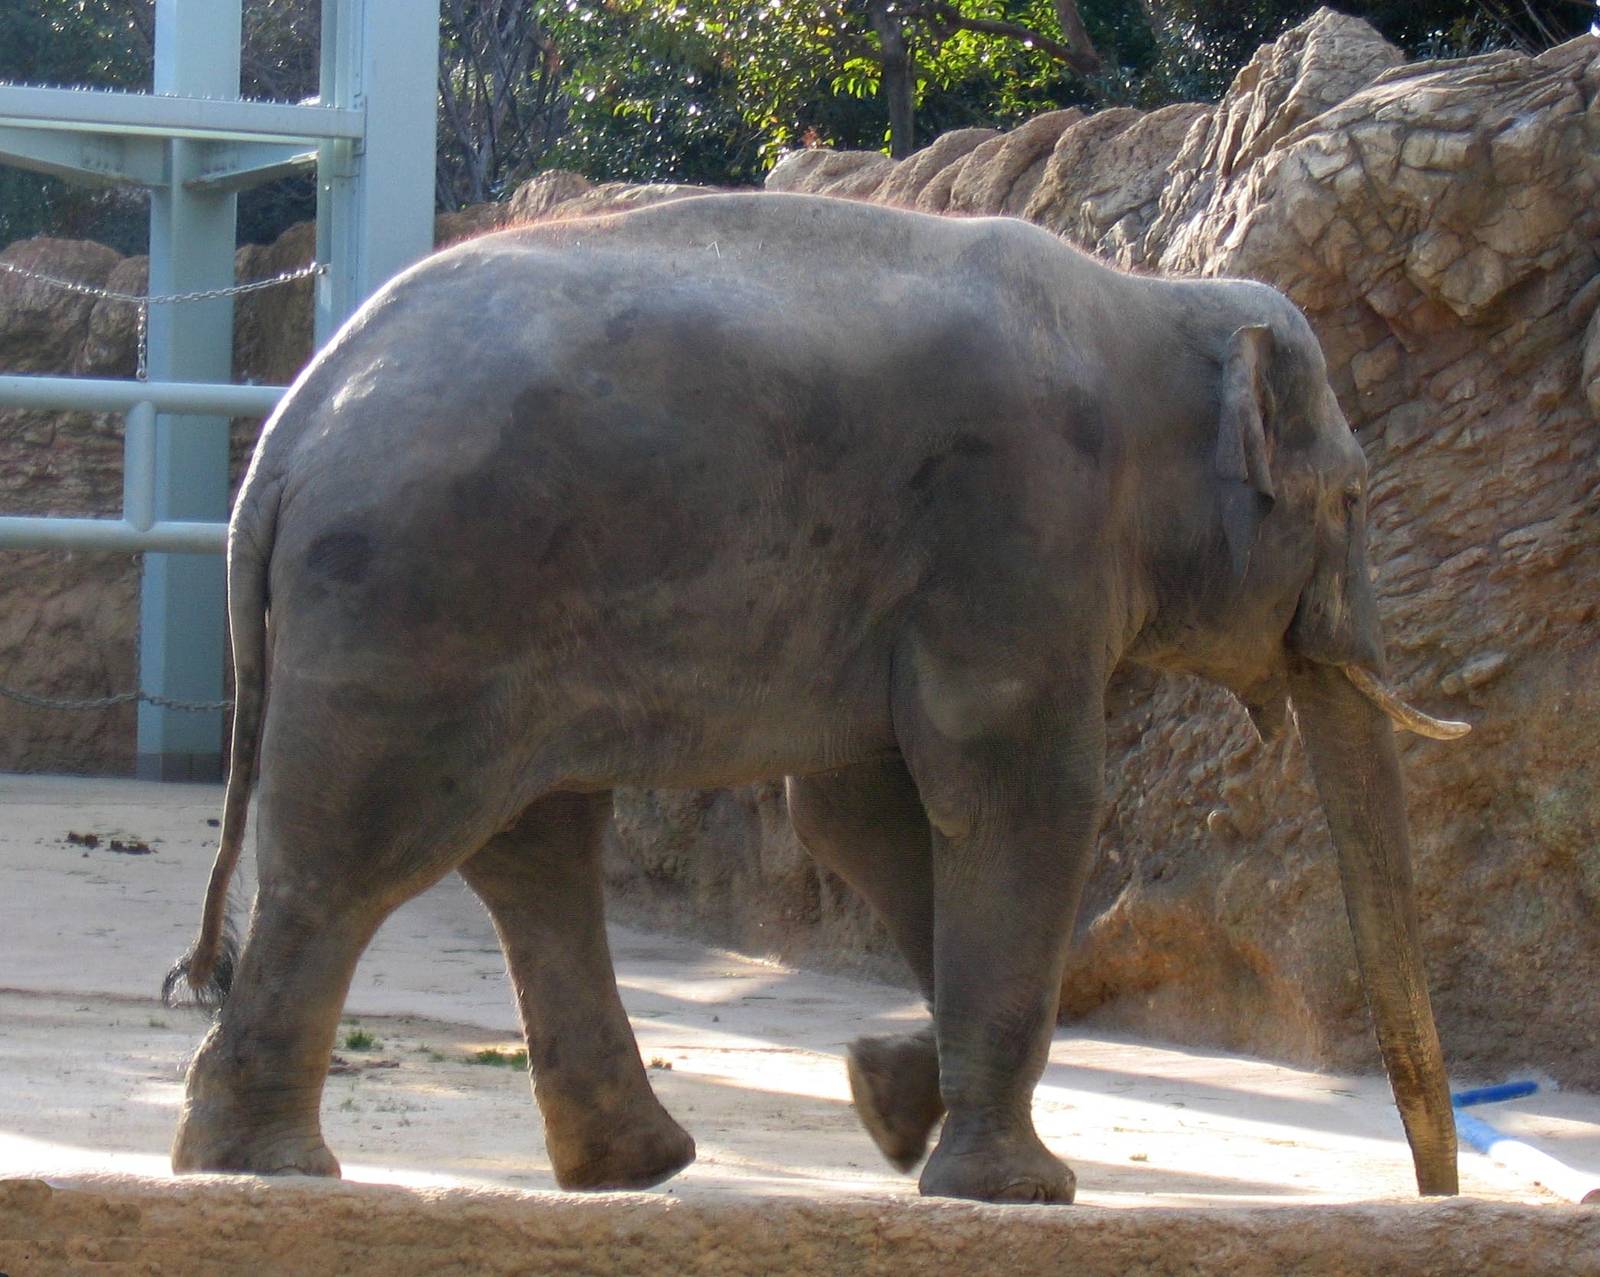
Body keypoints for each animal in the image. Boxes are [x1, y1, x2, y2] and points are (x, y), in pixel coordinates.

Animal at [167, 191, 1470, 1204]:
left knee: (531, 845)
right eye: (1354, 500)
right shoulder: (1019, 527)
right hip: (420, 595)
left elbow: (863, 812)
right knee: (364, 852)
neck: (1151, 304)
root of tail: (288, 433)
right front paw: (1017, 1188)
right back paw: (267, 1166)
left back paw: (626, 1164)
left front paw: (886, 1097)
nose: (1431, 1193)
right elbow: (1018, 795)